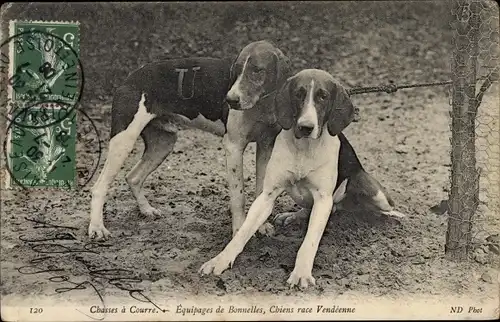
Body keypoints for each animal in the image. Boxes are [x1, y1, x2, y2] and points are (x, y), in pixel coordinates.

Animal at [199, 69, 402, 288]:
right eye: (298, 94)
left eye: (323, 96)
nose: (306, 127)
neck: (304, 148)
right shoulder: (267, 196)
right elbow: (243, 232)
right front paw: (220, 260)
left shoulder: (323, 199)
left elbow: (309, 241)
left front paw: (302, 272)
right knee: (311, 208)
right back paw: (292, 215)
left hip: (371, 189)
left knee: (381, 206)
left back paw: (392, 215)